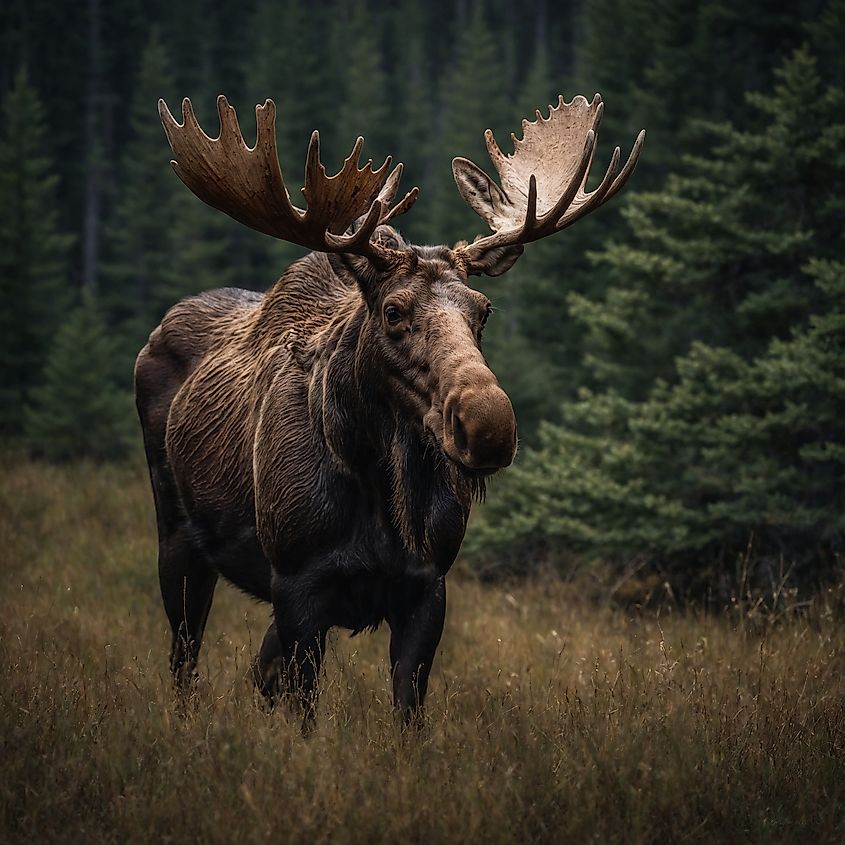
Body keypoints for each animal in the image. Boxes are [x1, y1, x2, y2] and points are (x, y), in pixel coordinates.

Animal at [135, 94, 644, 724]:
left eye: (483, 309)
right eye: (394, 311)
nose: (489, 425)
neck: (377, 486)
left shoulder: (426, 587)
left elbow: (405, 714)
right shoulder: (299, 586)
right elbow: (302, 715)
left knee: (254, 671)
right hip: (179, 537)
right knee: (184, 656)